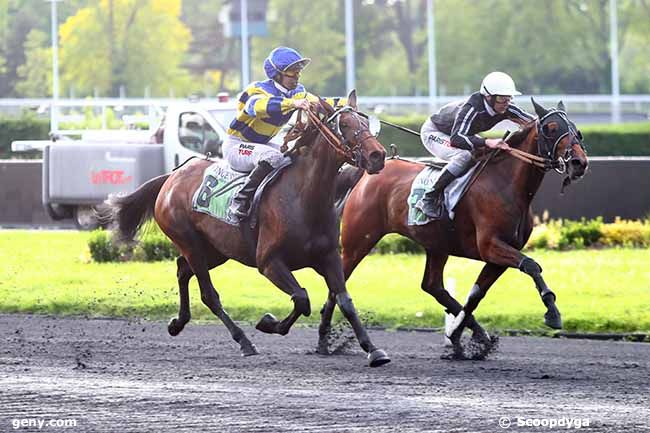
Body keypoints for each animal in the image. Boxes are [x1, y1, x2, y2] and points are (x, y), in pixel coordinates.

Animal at [105, 89, 390, 366]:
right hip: (190, 242)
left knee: (182, 269)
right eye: (345, 124)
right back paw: (243, 341)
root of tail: (172, 177)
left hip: (216, 250)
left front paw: (373, 350)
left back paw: (178, 323)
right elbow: (302, 299)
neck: (303, 197)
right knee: (208, 294)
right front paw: (268, 323)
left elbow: (344, 301)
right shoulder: (269, 262)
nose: (378, 155)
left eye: (366, 123)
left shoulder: (329, 256)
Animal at [318, 99, 588, 356]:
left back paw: (477, 333)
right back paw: (323, 339)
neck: (505, 183)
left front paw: (460, 336)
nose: (579, 162)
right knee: (337, 283)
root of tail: (365, 173)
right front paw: (552, 312)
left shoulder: (499, 256)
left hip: (436, 244)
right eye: (551, 128)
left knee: (433, 286)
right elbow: (531, 265)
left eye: (575, 129)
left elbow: (475, 295)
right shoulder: (490, 246)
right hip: (358, 241)